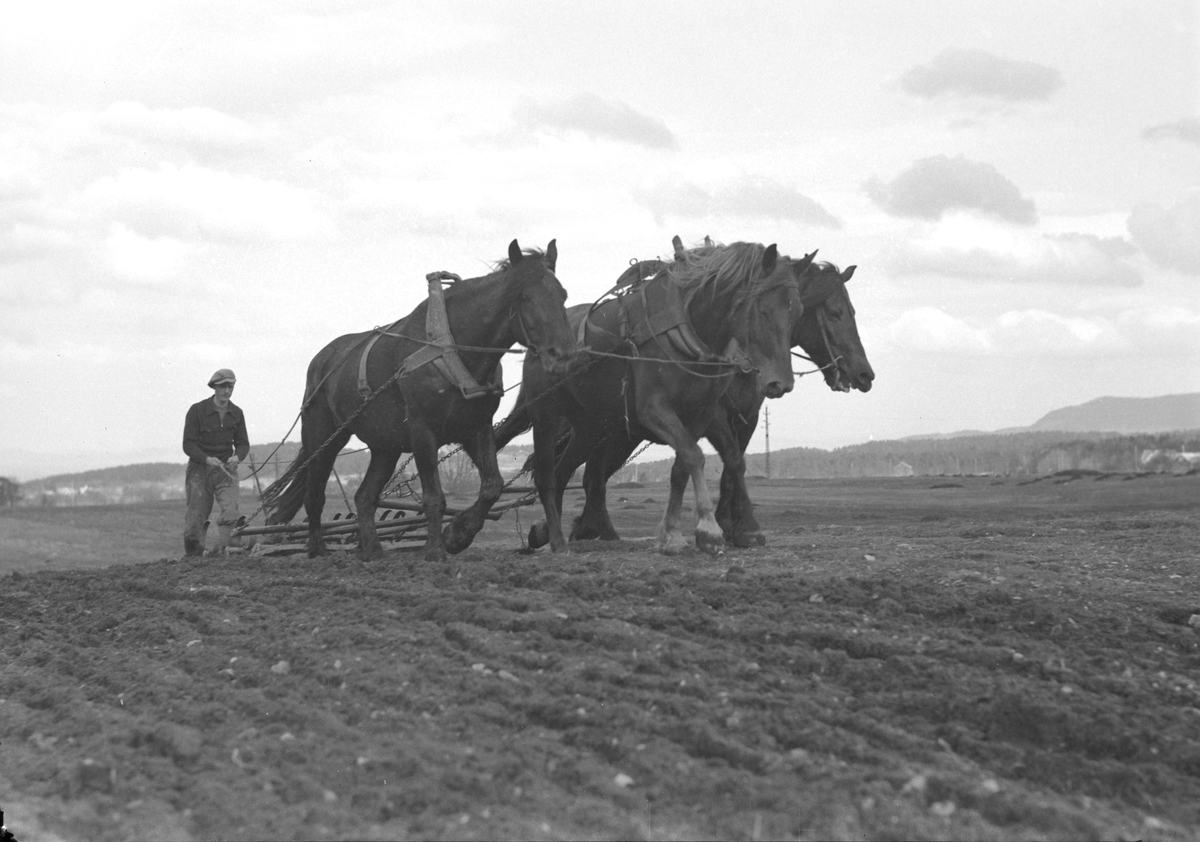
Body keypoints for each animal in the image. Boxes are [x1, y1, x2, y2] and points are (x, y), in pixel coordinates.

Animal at [261, 241, 576, 563]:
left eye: (562, 294)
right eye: (524, 296)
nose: (562, 355)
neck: (453, 349)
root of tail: (322, 360)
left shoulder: (475, 428)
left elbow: (492, 486)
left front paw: (458, 534)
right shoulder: (423, 431)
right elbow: (434, 496)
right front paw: (436, 549)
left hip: (385, 447)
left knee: (364, 496)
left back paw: (373, 550)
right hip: (324, 437)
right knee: (314, 494)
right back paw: (317, 548)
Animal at [494, 238, 816, 554]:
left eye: (799, 311)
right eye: (761, 310)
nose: (781, 383)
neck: (690, 327)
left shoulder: (702, 414)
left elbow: (687, 466)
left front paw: (673, 533)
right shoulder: (655, 409)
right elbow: (696, 456)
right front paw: (709, 530)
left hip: (591, 426)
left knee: (565, 472)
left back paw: (554, 533)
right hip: (546, 415)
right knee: (547, 474)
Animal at [705, 256, 878, 546]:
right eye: (835, 313)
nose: (866, 375)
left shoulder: (748, 416)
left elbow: (733, 465)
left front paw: (731, 525)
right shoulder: (714, 414)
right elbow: (731, 460)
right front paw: (739, 527)